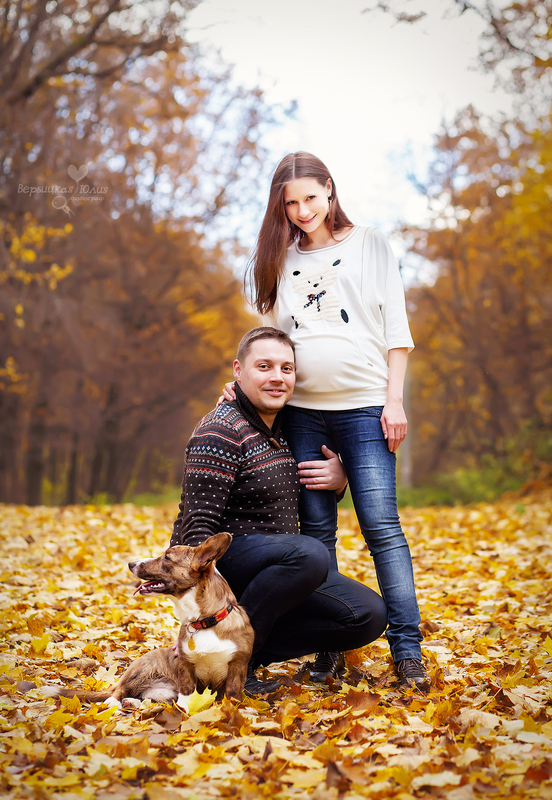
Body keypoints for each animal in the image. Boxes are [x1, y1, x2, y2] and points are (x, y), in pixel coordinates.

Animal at [46, 533, 254, 709]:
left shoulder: (238, 667)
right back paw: (113, 703)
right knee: (118, 690)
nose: (131, 563)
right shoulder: (185, 665)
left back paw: (131, 702)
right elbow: (187, 693)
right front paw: (184, 712)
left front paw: (232, 711)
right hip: (141, 669)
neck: (204, 621)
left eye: (167, 557)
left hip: (162, 692)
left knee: (145, 698)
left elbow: (232, 694)